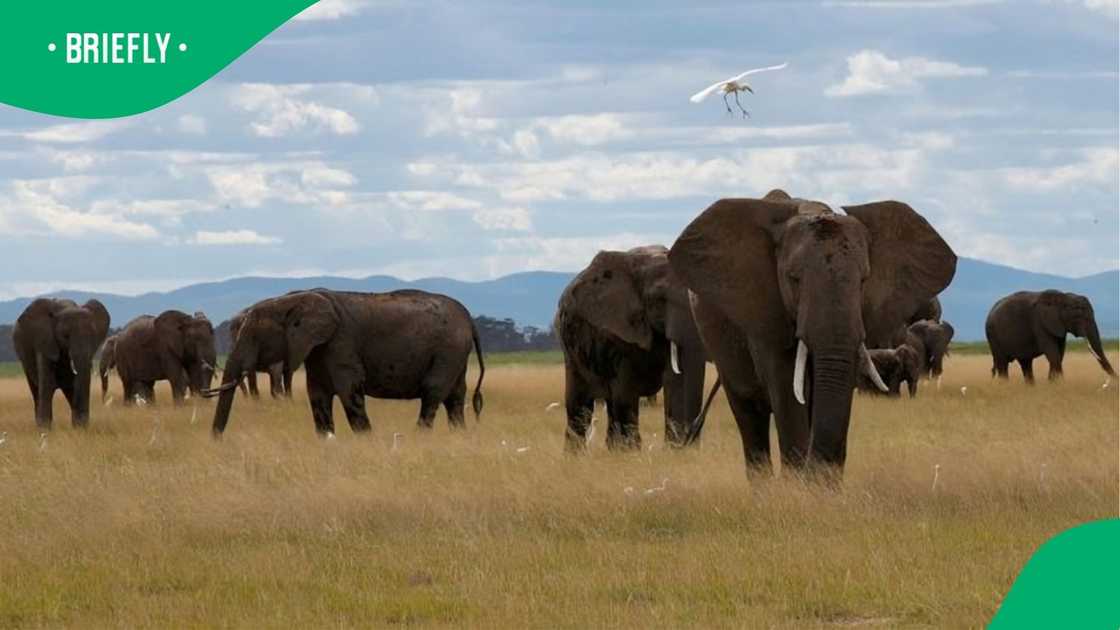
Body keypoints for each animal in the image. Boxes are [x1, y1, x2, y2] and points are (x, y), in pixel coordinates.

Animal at [13, 298, 111, 428]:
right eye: (66, 336)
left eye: (92, 336)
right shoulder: (44, 342)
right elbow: (47, 385)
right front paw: (45, 429)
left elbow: (78, 384)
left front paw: (80, 428)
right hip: (24, 360)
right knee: (36, 391)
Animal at [206, 288, 485, 436]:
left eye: (255, 337)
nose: (216, 440)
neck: (294, 300)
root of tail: (470, 319)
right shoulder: (317, 351)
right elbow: (317, 397)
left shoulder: (340, 343)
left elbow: (349, 391)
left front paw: (367, 441)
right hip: (455, 354)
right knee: (455, 399)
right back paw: (459, 436)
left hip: (448, 350)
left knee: (433, 393)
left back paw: (420, 436)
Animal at [555, 245, 709, 451]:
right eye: (660, 299)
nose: (689, 441)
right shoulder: (616, 330)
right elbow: (626, 392)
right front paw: (632, 452)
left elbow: (676, 381)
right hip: (570, 348)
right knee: (579, 405)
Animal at [669, 190, 956, 476]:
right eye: (793, 279)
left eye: (864, 280)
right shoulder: (767, 314)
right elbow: (788, 392)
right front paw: (799, 482)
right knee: (749, 414)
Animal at [985, 290, 1115, 382]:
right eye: (1077, 317)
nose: (1111, 383)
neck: (1063, 298)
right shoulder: (1040, 324)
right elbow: (1052, 352)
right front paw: (1058, 384)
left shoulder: (1059, 326)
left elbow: (1059, 353)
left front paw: (1052, 383)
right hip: (993, 336)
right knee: (1002, 364)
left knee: (1026, 363)